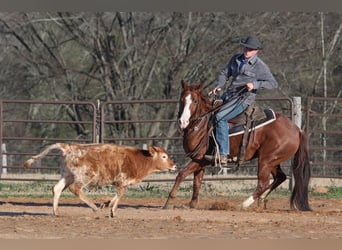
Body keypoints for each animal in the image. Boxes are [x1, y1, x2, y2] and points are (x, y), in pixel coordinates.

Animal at [24, 144, 178, 218]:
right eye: (164, 156)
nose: (174, 166)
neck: (139, 159)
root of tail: (69, 147)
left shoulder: (121, 183)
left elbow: (115, 197)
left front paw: (106, 204)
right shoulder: (122, 182)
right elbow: (119, 196)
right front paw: (113, 211)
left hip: (68, 175)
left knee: (56, 188)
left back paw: (56, 212)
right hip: (85, 175)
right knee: (75, 189)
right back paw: (94, 207)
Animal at [164, 80, 312, 211]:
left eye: (195, 101)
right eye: (182, 100)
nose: (182, 122)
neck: (202, 126)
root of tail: (297, 130)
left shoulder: (199, 160)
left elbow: (181, 174)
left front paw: (169, 202)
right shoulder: (201, 161)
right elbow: (197, 182)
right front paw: (192, 204)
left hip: (266, 160)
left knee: (262, 184)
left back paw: (242, 205)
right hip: (274, 161)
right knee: (279, 178)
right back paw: (261, 200)